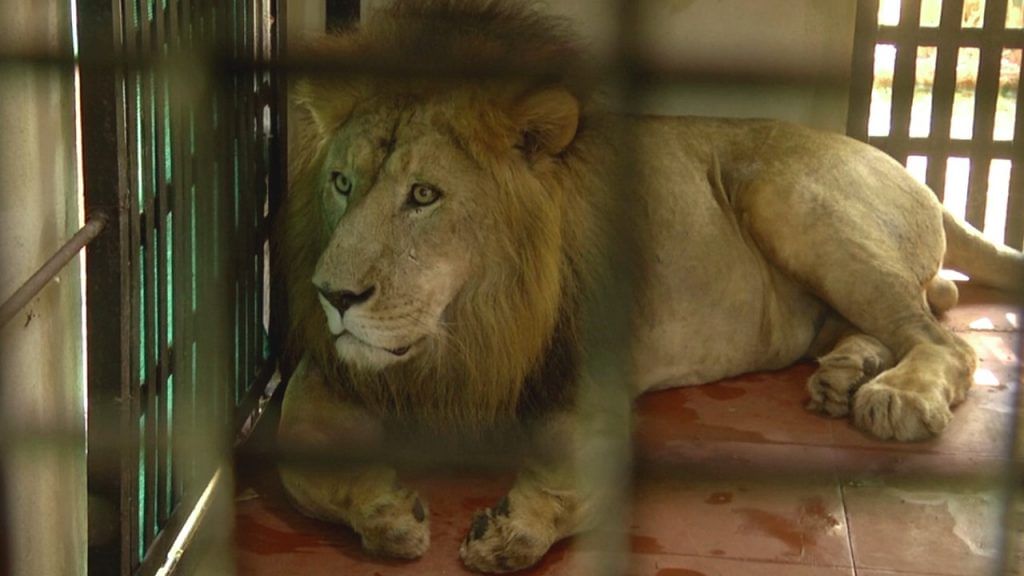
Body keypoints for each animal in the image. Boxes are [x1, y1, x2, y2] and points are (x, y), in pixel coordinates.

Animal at [274, 2, 1024, 569]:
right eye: (341, 183)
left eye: (425, 195)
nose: (333, 296)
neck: (468, 326)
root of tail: (894, 161)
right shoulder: (329, 373)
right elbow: (299, 466)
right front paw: (386, 512)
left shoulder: (589, 371)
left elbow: (580, 477)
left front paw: (514, 528)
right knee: (907, 315)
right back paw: (844, 375)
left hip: (787, 196)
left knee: (945, 339)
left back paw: (898, 396)